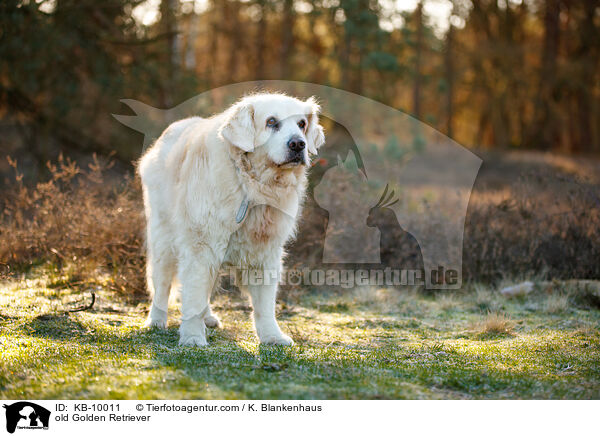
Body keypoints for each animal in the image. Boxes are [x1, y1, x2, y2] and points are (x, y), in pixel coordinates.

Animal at [138, 93, 326, 346]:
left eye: (302, 124)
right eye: (271, 122)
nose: (298, 144)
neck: (252, 186)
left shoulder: (265, 252)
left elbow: (264, 304)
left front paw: (272, 336)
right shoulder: (201, 246)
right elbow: (193, 295)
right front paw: (193, 337)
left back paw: (208, 318)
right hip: (163, 240)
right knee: (162, 283)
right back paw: (156, 321)